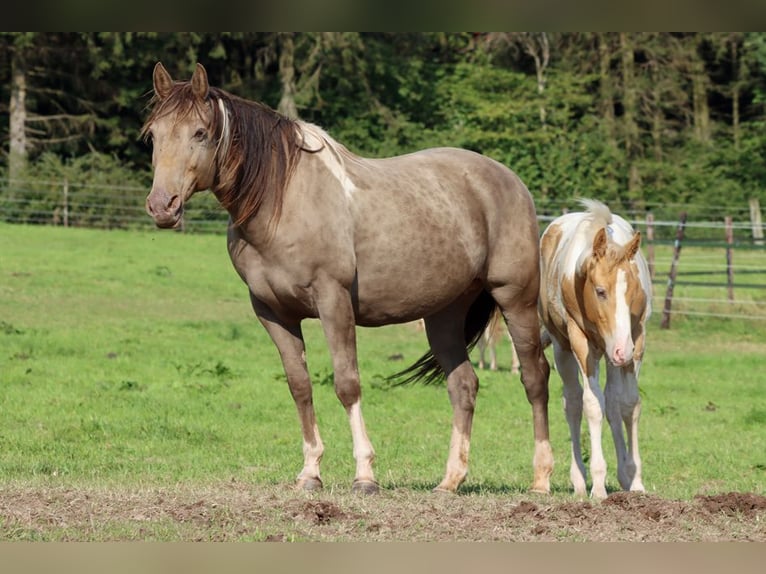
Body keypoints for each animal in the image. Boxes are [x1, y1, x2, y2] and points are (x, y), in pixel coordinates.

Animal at [141, 62, 553, 495]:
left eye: (200, 133)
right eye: (153, 135)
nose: (162, 206)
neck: (282, 201)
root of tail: (509, 179)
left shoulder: (333, 301)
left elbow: (346, 383)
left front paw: (365, 474)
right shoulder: (273, 313)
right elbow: (300, 386)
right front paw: (310, 472)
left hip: (515, 300)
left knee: (535, 378)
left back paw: (541, 478)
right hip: (444, 314)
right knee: (463, 386)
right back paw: (450, 481)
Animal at [538, 199, 651, 499]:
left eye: (634, 291)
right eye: (600, 291)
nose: (622, 350)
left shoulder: (636, 340)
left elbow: (629, 404)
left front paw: (635, 481)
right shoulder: (582, 344)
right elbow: (592, 405)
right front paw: (598, 487)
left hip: (612, 354)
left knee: (612, 402)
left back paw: (623, 475)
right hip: (566, 350)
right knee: (574, 403)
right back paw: (580, 480)